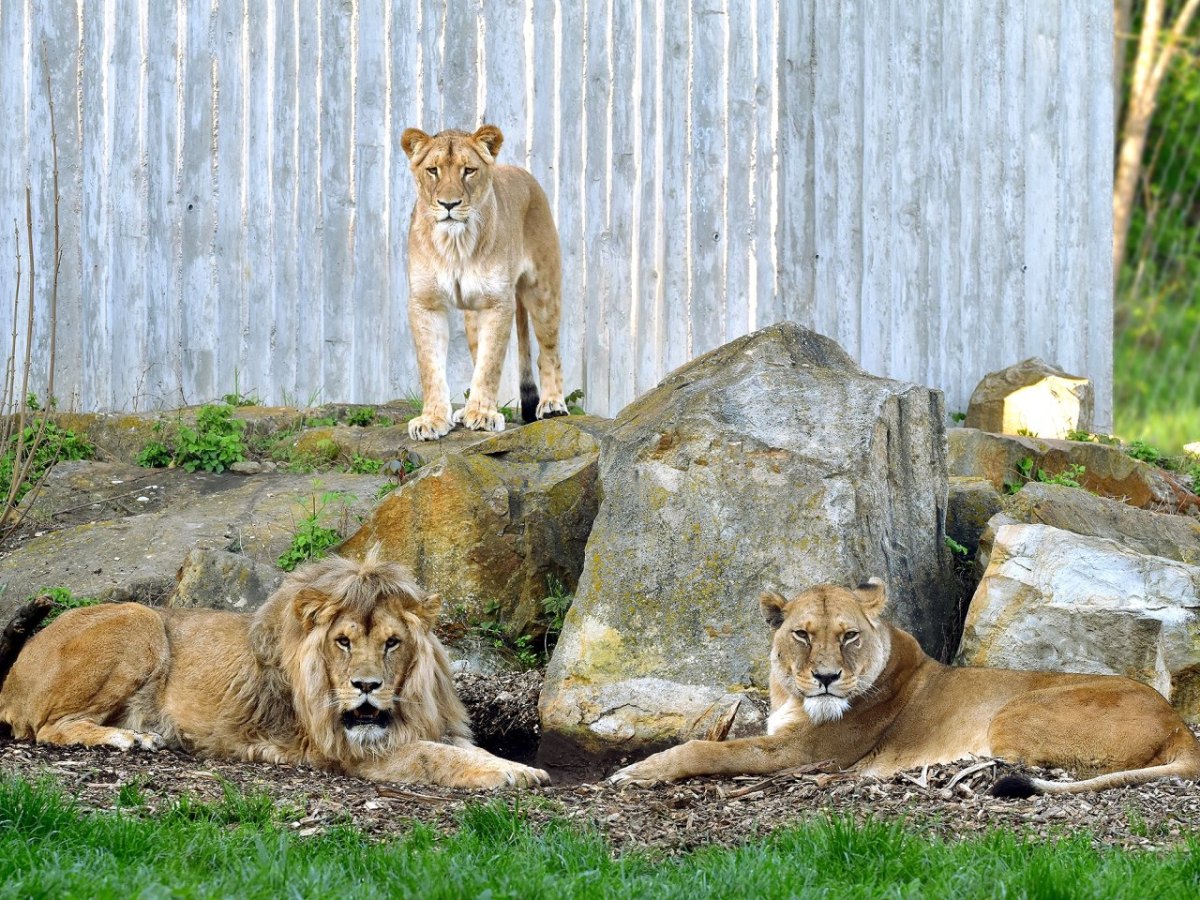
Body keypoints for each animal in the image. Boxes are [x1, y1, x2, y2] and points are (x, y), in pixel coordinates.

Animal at [0, 549, 549, 787]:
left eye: (392, 643)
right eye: (343, 642)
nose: (366, 686)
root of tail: (12, 674)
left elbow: (463, 748)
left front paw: (512, 765)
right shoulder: (350, 752)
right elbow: (437, 757)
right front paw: (519, 774)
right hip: (142, 620)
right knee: (50, 728)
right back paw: (128, 738)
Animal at [400, 122, 564, 441]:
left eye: (469, 171)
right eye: (433, 170)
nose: (449, 204)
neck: (455, 244)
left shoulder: (498, 303)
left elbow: (490, 365)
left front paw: (483, 415)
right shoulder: (425, 303)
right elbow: (431, 366)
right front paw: (433, 419)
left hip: (542, 291)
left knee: (548, 352)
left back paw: (553, 405)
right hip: (472, 314)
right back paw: (463, 411)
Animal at [609, 578, 1200, 796]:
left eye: (848, 636)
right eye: (803, 634)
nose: (827, 678)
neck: (791, 694)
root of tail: (1179, 723)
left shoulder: (803, 752)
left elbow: (707, 749)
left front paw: (636, 772)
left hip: (1013, 711)